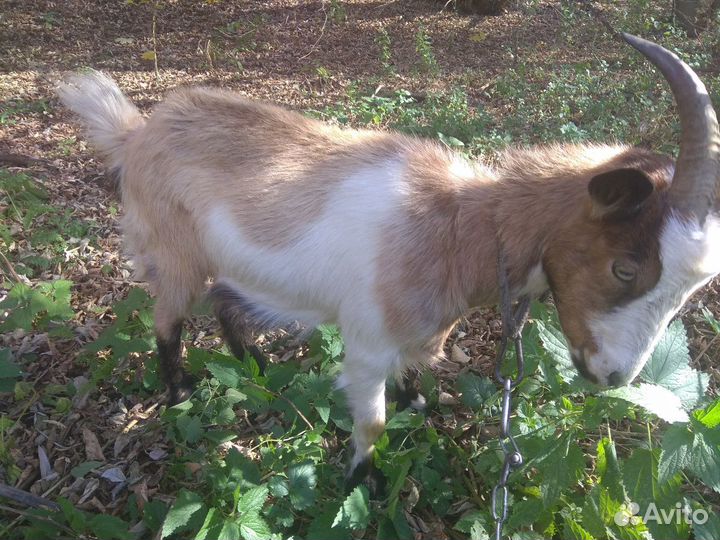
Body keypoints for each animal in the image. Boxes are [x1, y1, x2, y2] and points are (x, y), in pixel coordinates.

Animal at [58, 34, 720, 491]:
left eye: (690, 293)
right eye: (625, 268)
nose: (614, 378)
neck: (459, 224)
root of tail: (136, 133)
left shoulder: (423, 331)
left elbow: (418, 371)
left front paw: (420, 409)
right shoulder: (369, 342)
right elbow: (372, 422)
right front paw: (366, 481)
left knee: (225, 305)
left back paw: (255, 370)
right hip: (173, 253)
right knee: (167, 321)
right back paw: (178, 393)